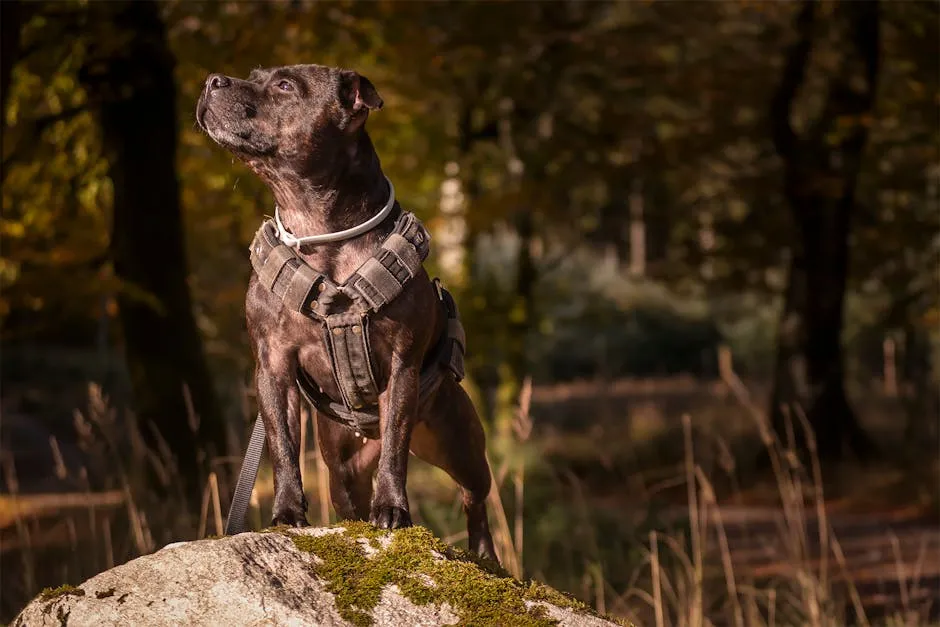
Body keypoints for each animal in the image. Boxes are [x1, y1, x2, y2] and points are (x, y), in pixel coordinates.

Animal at [197, 66, 500, 560]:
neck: (319, 231)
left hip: (461, 444)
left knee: (474, 497)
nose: (211, 80)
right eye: (255, 75)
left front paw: (393, 509)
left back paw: (484, 553)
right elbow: (282, 446)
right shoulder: (273, 366)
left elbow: (395, 447)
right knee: (349, 498)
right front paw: (286, 513)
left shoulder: (400, 365)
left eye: (284, 85)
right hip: (342, 469)